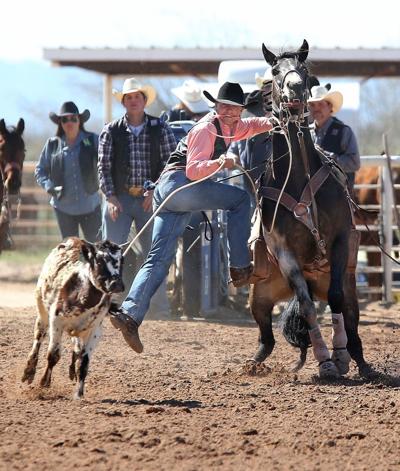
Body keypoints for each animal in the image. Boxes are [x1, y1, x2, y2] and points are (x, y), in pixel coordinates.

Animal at [21, 240, 123, 398]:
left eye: (121, 260)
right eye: (99, 260)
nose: (116, 284)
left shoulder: (94, 331)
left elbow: (84, 362)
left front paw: (79, 394)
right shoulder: (56, 321)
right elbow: (53, 355)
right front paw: (44, 382)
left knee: (77, 347)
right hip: (42, 311)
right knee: (38, 339)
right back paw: (29, 371)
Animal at [250, 39, 372, 380]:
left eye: (304, 70)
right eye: (275, 71)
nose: (294, 86)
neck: (298, 176)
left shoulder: (340, 239)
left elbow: (335, 299)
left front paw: (339, 356)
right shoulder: (285, 251)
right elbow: (305, 307)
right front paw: (324, 360)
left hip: (346, 286)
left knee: (350, 315)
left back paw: (360, 361)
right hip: (260, 296)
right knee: (266, 332)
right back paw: (255, 362)